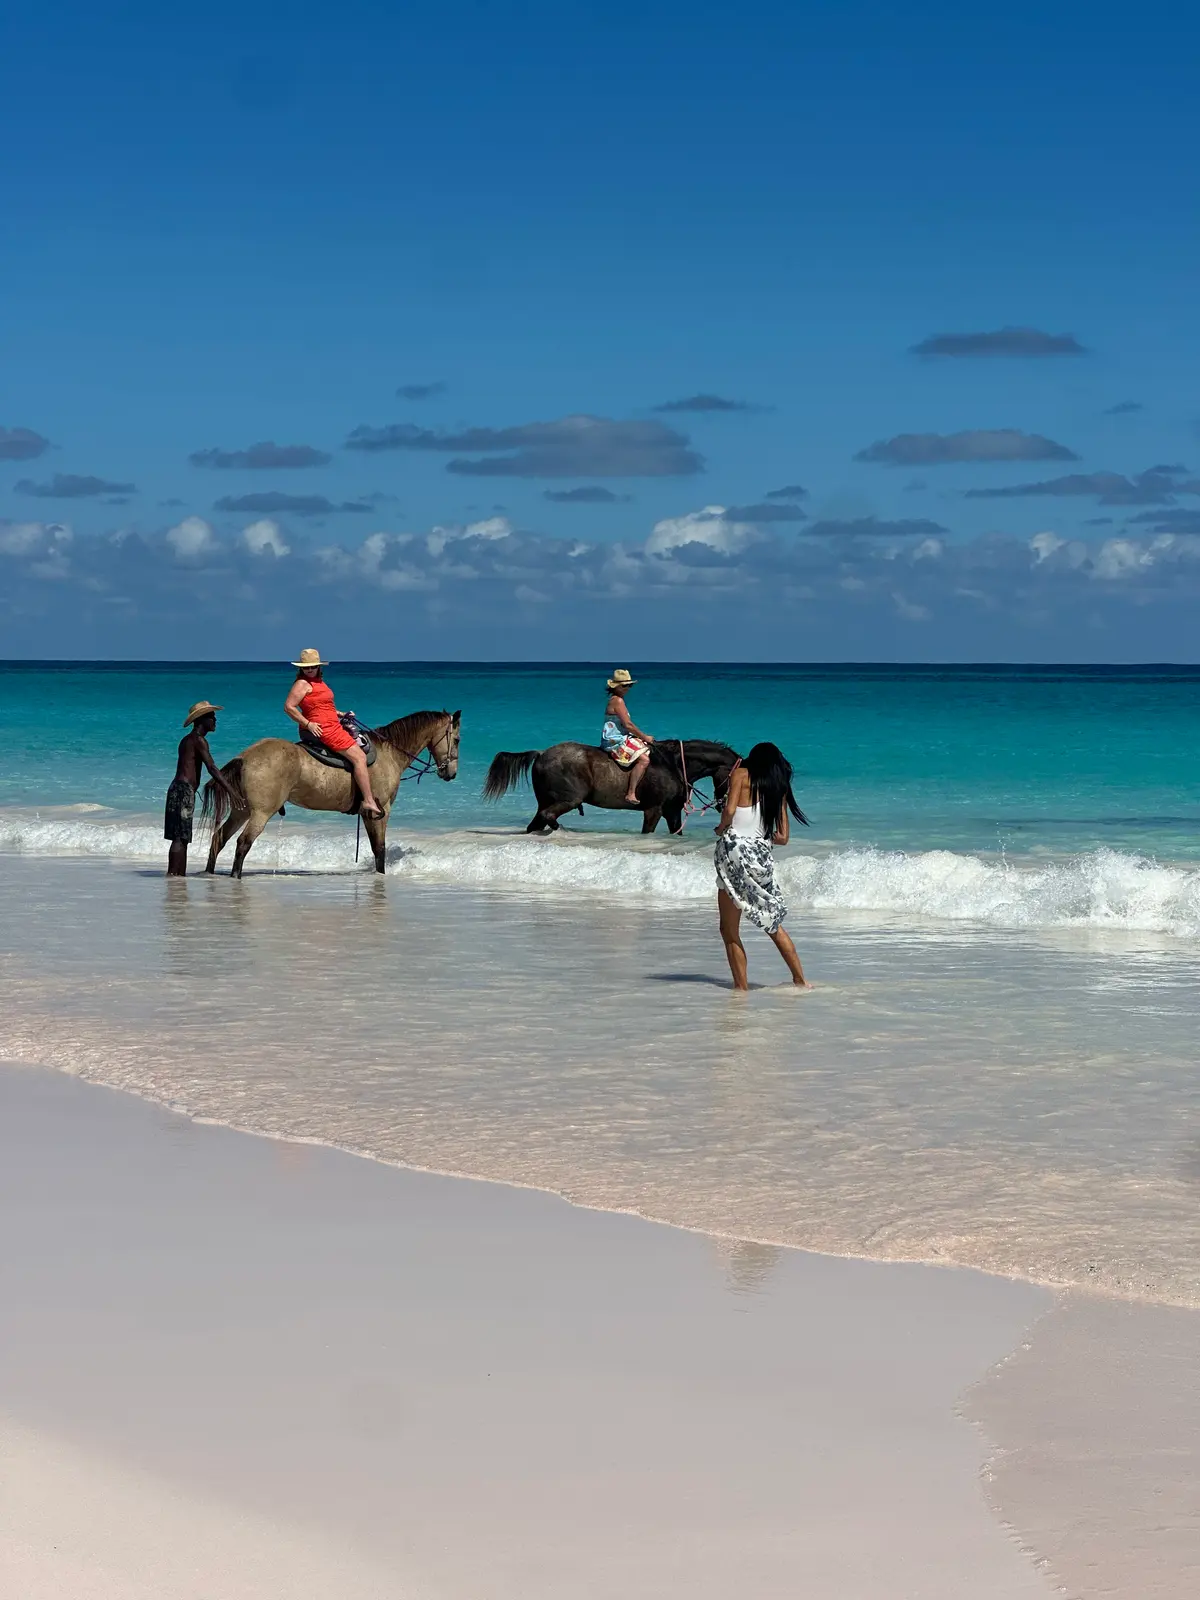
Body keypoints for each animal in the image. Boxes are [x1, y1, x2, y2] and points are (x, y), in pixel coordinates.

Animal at [202, 710, 461, 877]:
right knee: (243, 843)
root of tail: (245, 756)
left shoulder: (368, 815)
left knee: (219, 838)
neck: (389, 753)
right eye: (457, 739)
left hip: (242, 810)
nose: (451, 773)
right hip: (261, 813)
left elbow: (376, 849)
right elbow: (380, 850)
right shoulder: (380, 811)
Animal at [483, 738, 740, 835]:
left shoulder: (672, 812)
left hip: (545, 801)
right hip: (568, 800)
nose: (724, 805)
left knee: (536, 823)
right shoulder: (654, 810)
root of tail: (541, 753)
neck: (673, 765)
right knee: (549, 816)